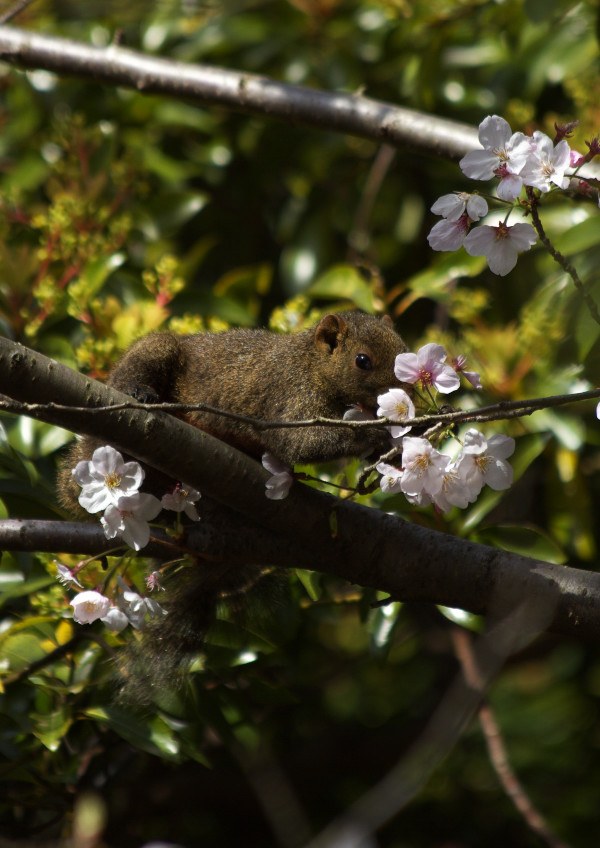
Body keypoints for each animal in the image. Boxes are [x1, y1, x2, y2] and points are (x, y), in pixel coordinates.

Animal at [57, 312, 408, 704]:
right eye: (362, 360)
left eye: (403, 349)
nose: (404, 394)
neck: (311, 364)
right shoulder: (290, 399)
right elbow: (304, 442)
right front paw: (378, 434)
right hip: (154, 354)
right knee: (135, 370)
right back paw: (138, 392)